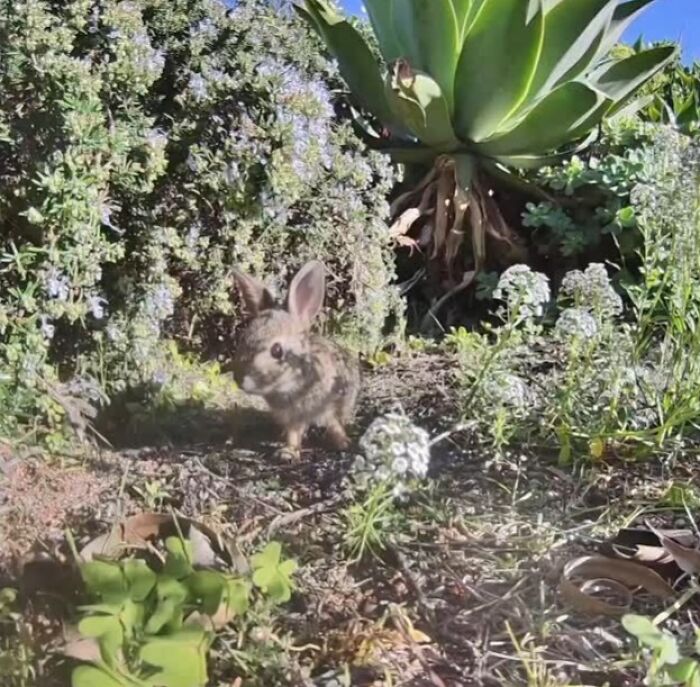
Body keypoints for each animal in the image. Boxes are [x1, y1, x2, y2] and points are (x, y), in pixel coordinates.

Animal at [231, 260, 360, 461]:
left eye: (277, 351)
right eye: (243, 339)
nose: (239, 380)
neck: (291, 383)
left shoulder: (328, 405)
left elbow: (333, 424)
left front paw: (343, 443)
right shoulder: (291, 416)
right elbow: (293, 432)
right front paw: (288, 452)